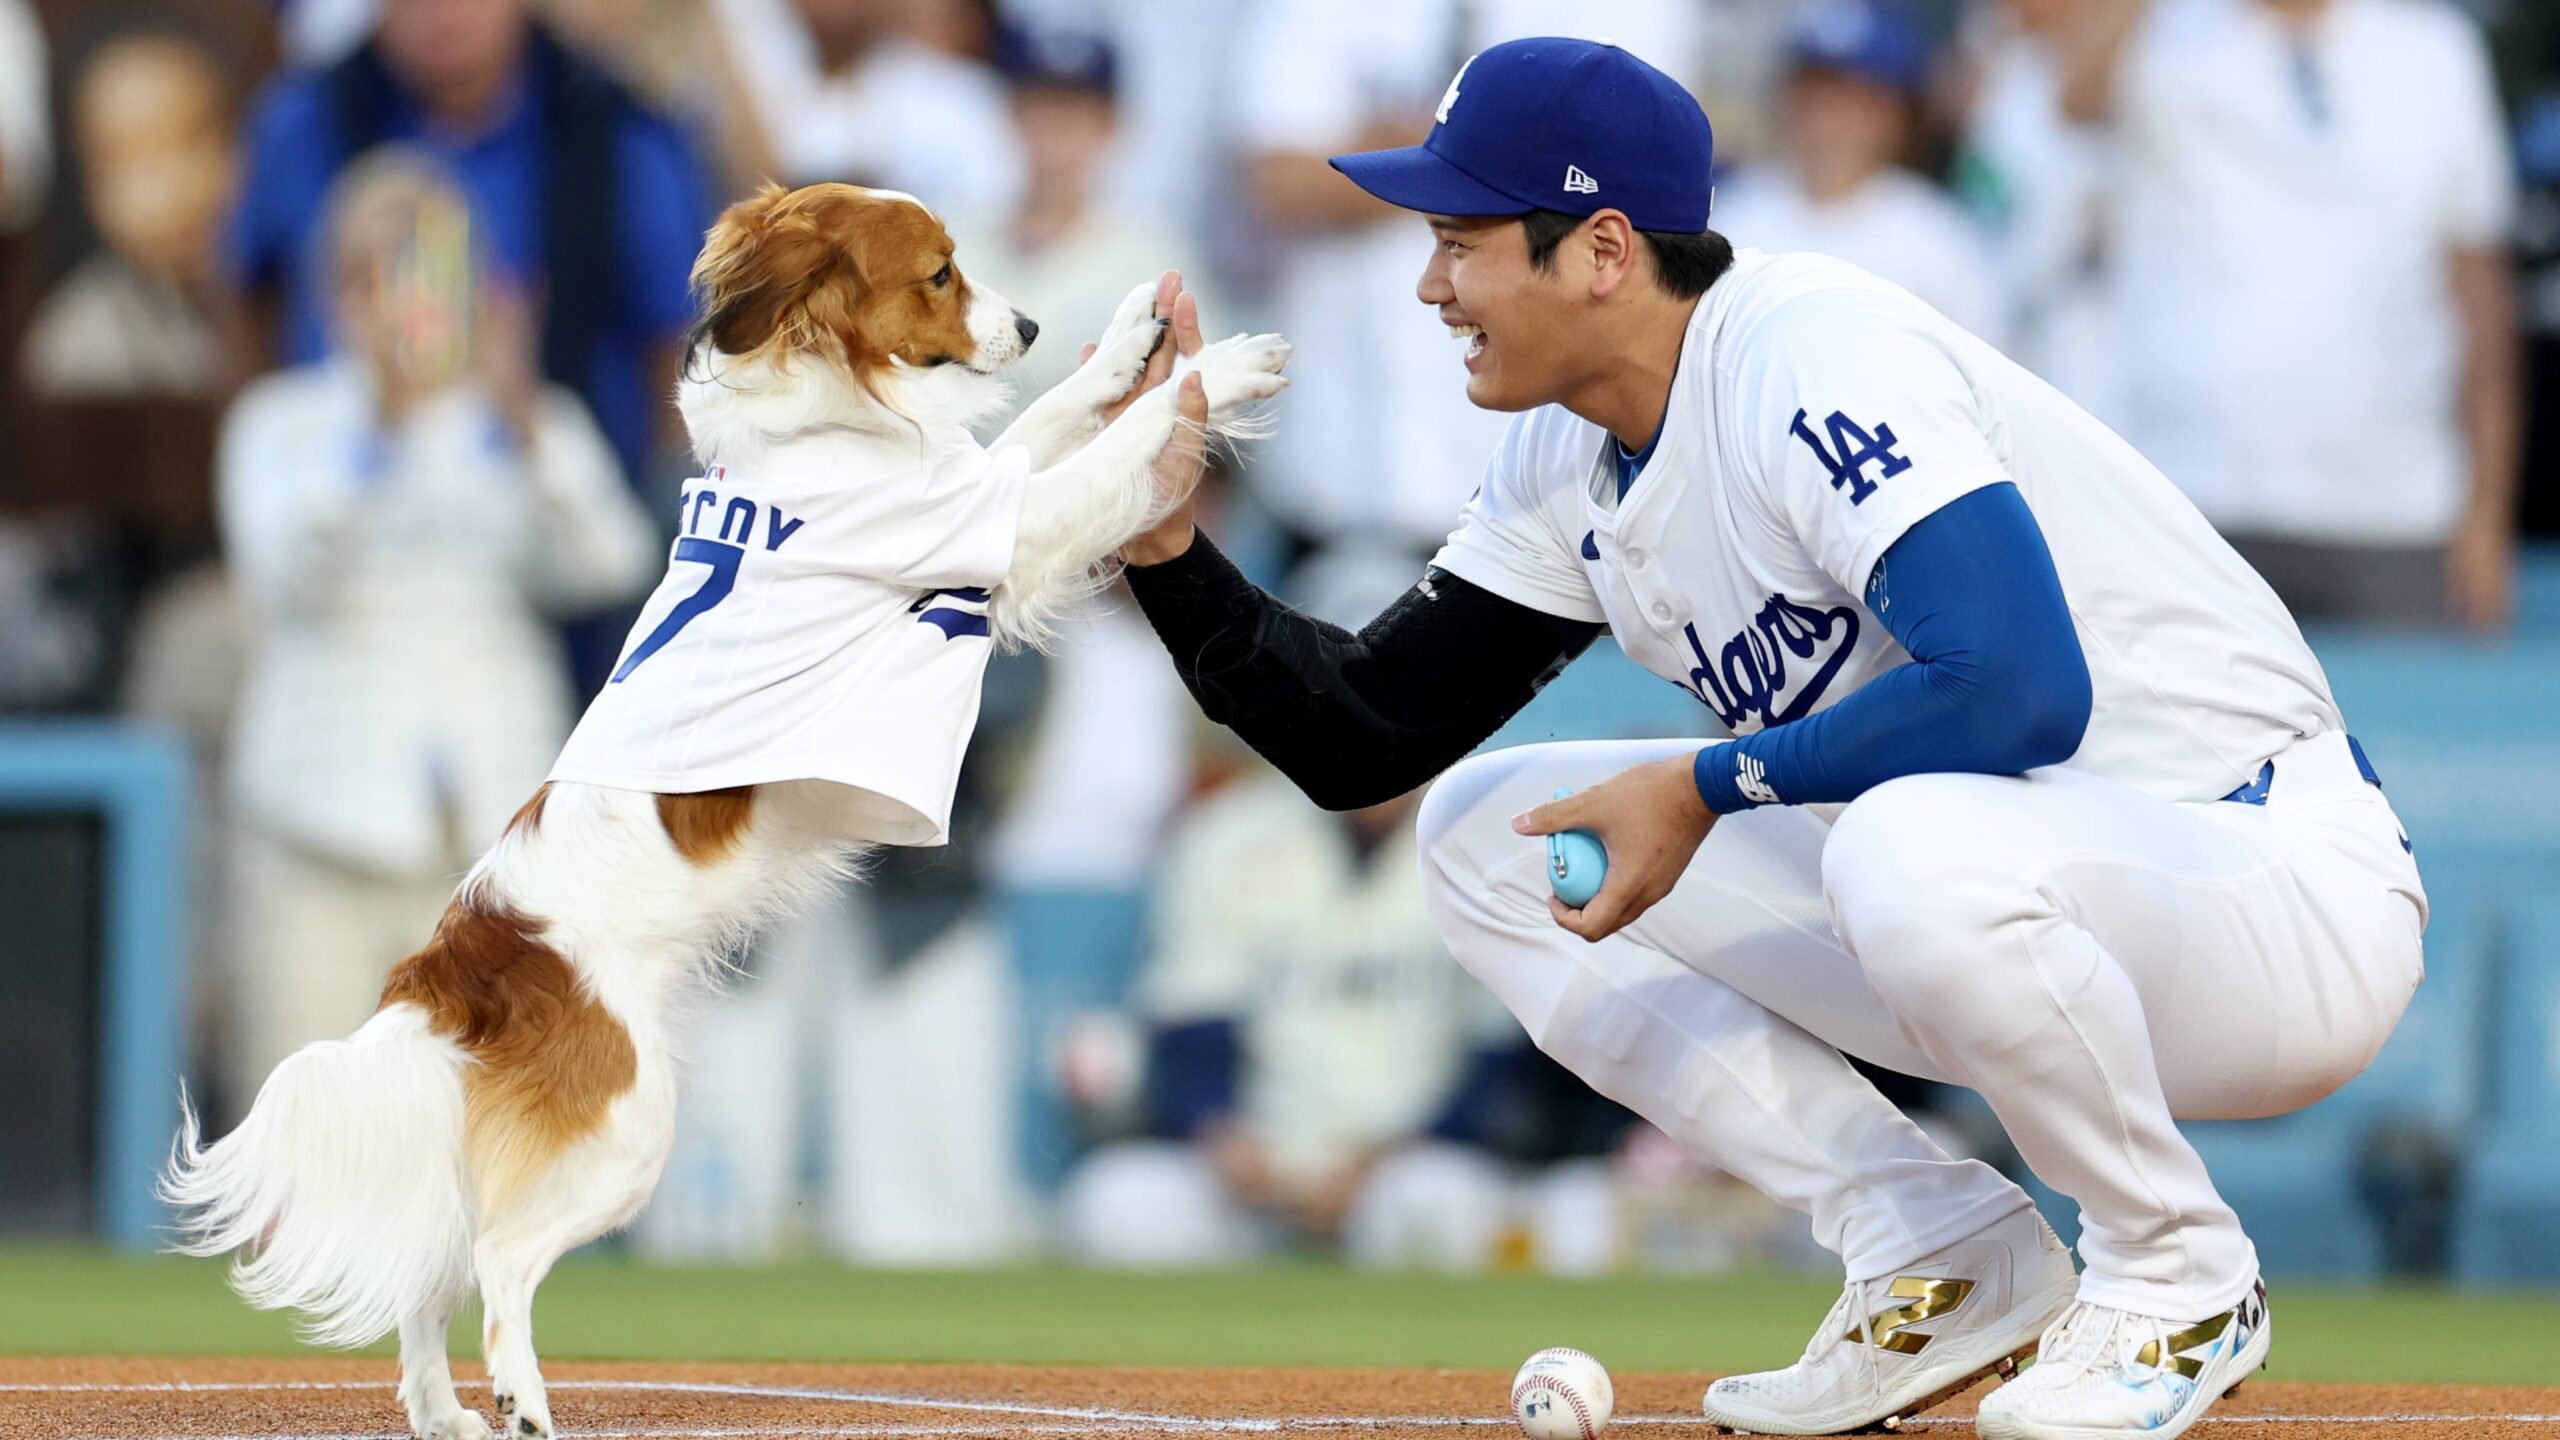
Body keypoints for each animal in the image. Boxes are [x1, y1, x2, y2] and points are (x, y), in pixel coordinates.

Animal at [160, 181, 1290, 1434]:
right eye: (940, 274)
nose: (1035, 324)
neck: (817, 420)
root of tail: (458, 964)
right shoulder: (999, 525)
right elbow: (1111, 449)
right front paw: (1220, 371)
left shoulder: (972, 490)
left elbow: (1046, 421)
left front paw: (1137, 339)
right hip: (628, 1133)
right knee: (501, 1262)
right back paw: (521, 1398)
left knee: (435, 1267)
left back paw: (444, 1411)